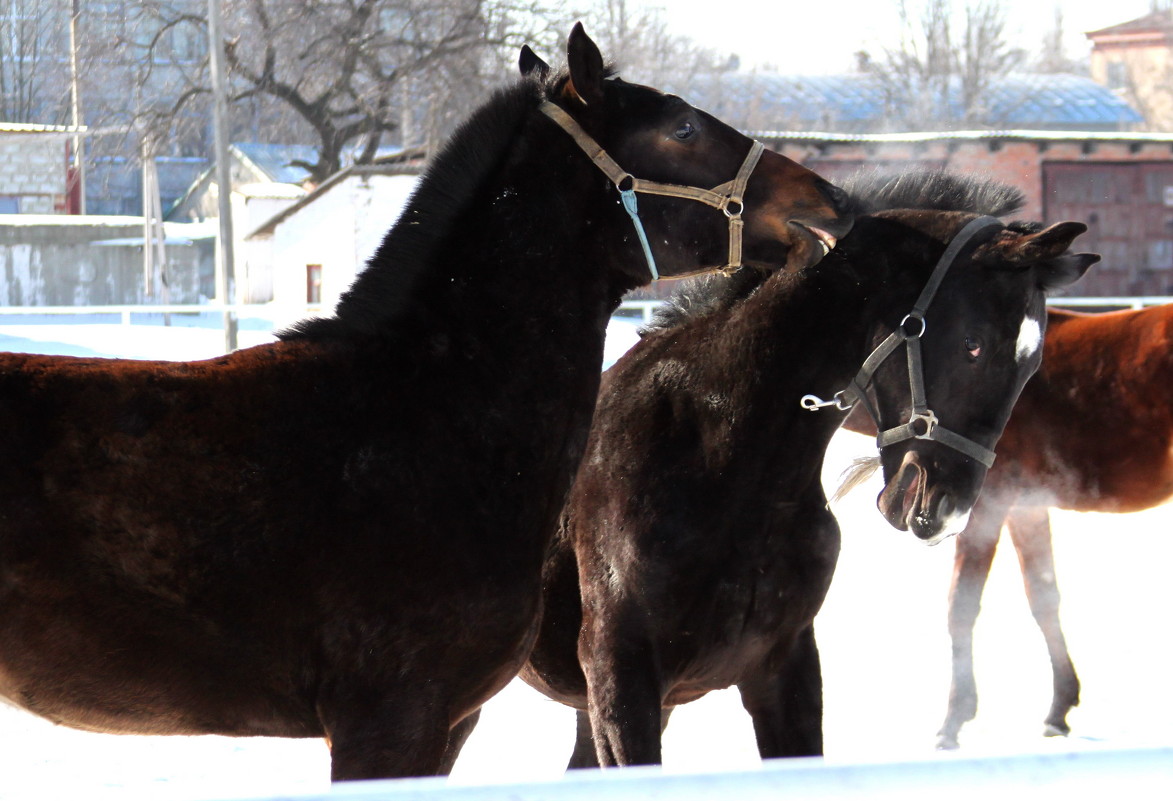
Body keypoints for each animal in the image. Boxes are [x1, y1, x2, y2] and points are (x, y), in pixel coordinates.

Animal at [518, 172, 1093, 769]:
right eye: (973, 344)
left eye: (1032, 364)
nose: (943, 508)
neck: (719, 463)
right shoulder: (621, 680)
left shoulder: (783, 670)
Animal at [863, 302, 1173, 750]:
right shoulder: (1027, 507)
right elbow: (1043, 596)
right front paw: (1059, 708)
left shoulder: (986, 508)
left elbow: (961, 605)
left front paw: (953, 719)